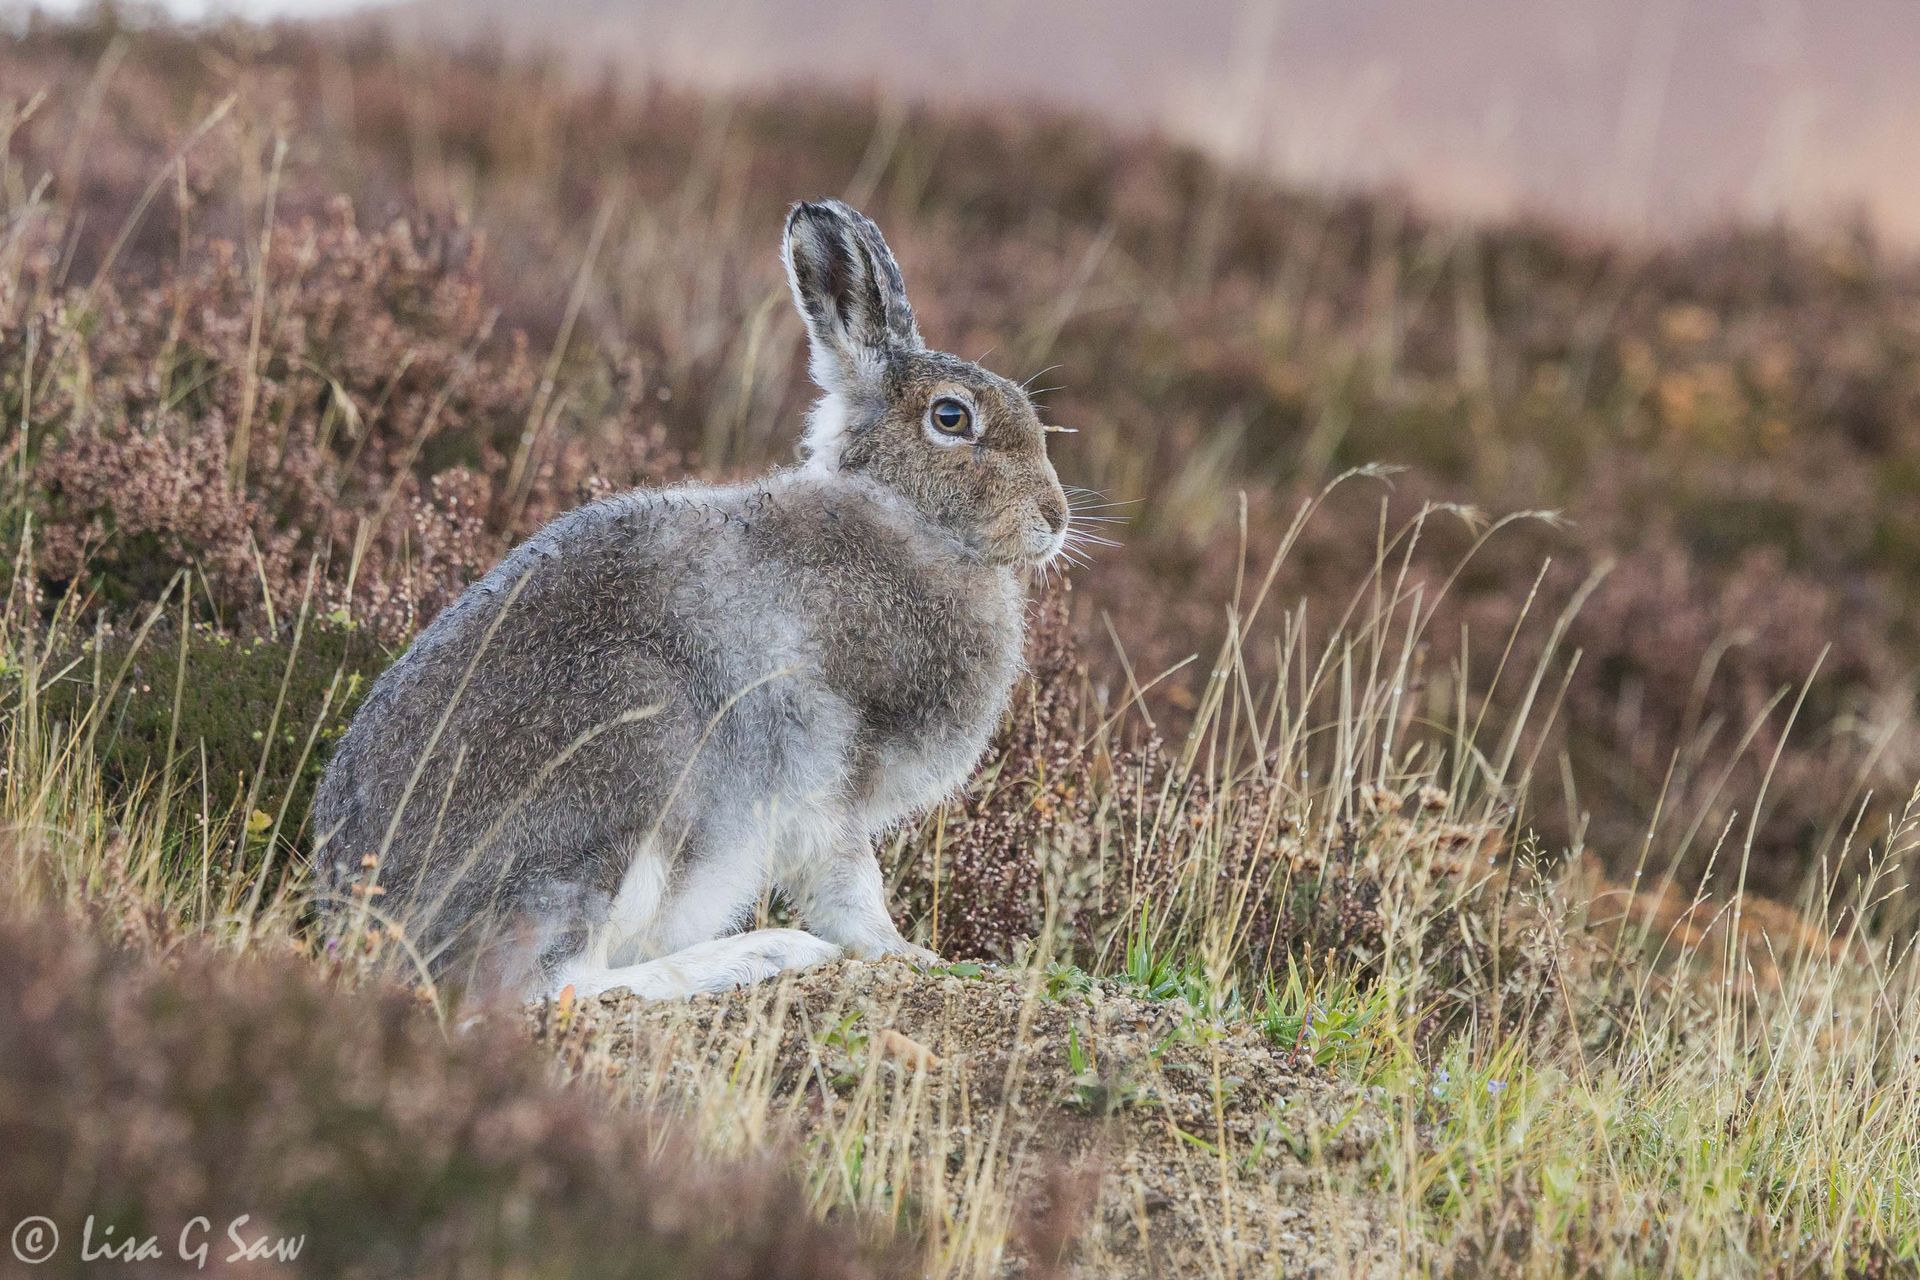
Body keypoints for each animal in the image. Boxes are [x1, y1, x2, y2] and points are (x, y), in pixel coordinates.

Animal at [312, 198, 1071, 1002]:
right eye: (951, 418)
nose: (1054, 518)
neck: (901, 514)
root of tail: (370, 926)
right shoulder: (825, 769)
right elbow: (850, 889)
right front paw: (912, 955)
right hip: (630, 768)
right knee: (552, 985)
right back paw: (763, 954)